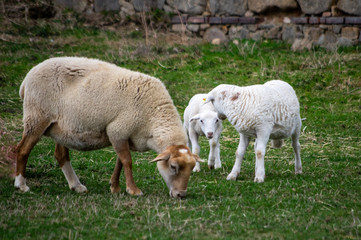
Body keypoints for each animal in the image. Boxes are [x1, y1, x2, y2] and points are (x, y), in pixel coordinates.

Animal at [14, 56, 200, 199]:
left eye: (192, 168)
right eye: (173, 167)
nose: (181, 195)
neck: (153, 116)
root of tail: (26, 80)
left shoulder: (123, 135)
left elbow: (120, 161)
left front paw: (115, 187)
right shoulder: (117, 130)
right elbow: (127, 161)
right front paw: (133, 190)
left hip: (60, 127)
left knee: (60, 155)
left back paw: (76, 186)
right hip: (37, 116)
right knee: (22, 150)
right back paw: (21, 185)